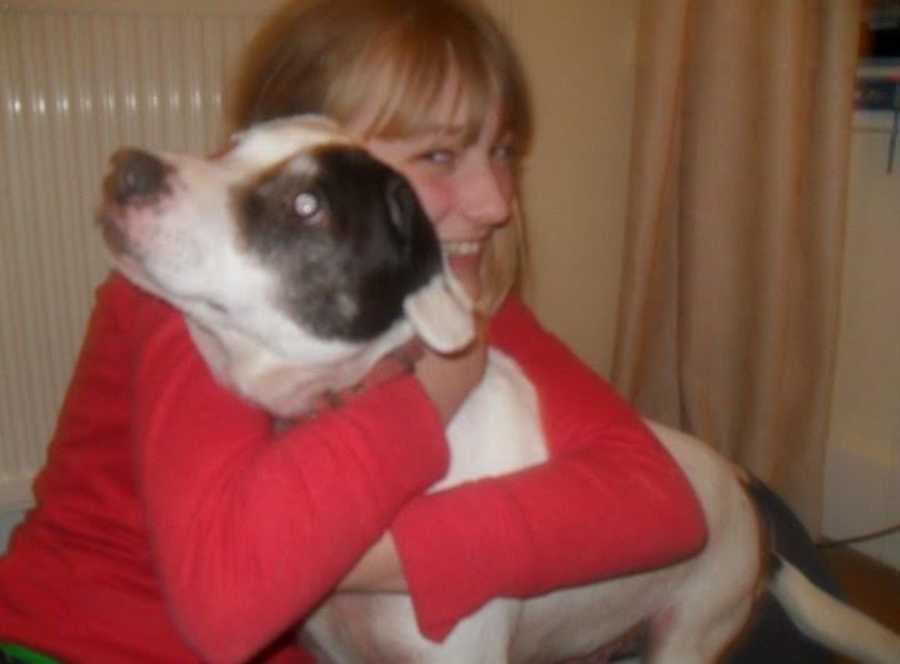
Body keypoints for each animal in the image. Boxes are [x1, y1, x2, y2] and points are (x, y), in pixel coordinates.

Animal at [96, 116, 900, 660]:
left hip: (692, 633)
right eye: (230, 145)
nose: (125, 167)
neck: (366, 394)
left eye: (308, 207)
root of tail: (748, 497)